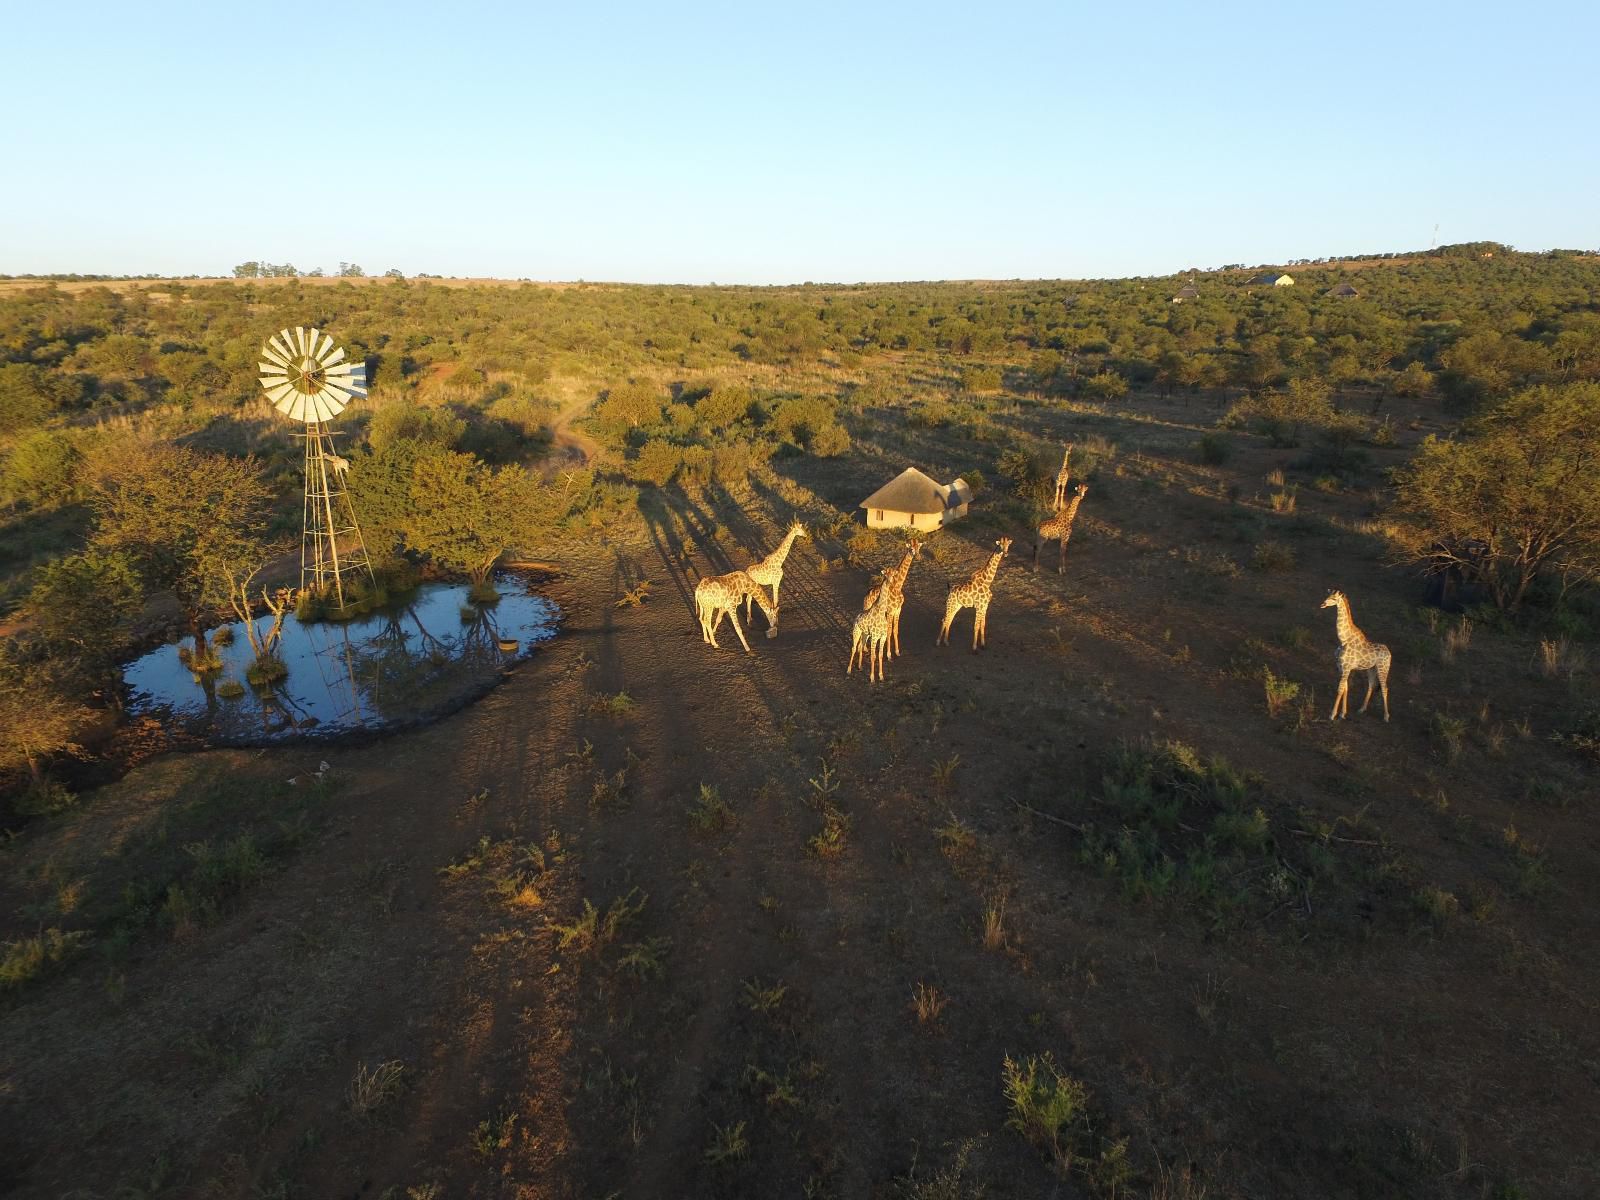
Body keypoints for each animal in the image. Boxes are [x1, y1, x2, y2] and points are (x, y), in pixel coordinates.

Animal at [1318, 592, 1395, 723]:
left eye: (1334, 598)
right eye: (1327, 596)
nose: (1323, 604)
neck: (1343, 640)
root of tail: (1389, 652)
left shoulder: (1346, 667)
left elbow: (1340, 689)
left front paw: (1332, 715)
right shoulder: (1341, 667)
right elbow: (1346, 688)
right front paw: (1343, 713)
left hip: (1383, 668)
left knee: (1385, 688)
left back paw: (1386, 716)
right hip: (1371, 669)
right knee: (1371, 685)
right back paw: (1361, 709)